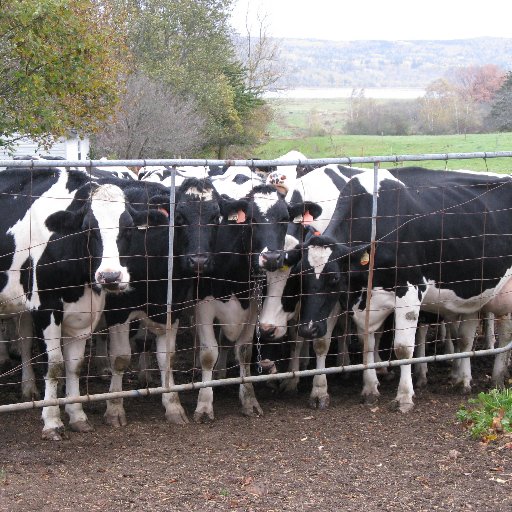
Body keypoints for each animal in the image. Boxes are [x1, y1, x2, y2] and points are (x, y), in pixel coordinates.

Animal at [0, 166, 172, 438]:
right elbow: (55, 365)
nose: (110, 276)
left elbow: (75, 365)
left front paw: (77, 415)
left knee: (25, 343)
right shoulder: (45, 308)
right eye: (88, 229)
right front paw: (52, 421)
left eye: (129, 229)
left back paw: (28, 388)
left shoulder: (83, 313)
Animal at [286, 166, 512, 414]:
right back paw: (463, 380)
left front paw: (404, 396)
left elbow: (403, 348)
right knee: (466, 338)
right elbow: (339, 343)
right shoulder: (350, 298)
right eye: (300, 277)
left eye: (334, 277)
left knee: (505, 335)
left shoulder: (410, 290)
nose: (307, 329)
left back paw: (497, 378)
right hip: (474, 293)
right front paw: (330, 391)